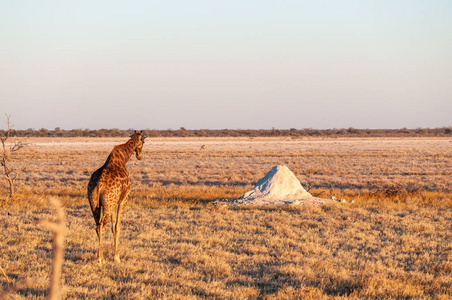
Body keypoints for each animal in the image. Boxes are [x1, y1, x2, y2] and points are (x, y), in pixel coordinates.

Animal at [87, 130, 146, 264]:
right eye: (143, 142)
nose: (140, 156)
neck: (123, 158)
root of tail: (99, 183)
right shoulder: (123, 199)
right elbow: (118, 226)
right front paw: (117, 257)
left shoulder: (114, 202)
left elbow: (113, 227)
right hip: (108, 204)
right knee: (102, 225)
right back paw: (100, 259)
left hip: (95, 204)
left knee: (97, 226)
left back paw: (100, 257)